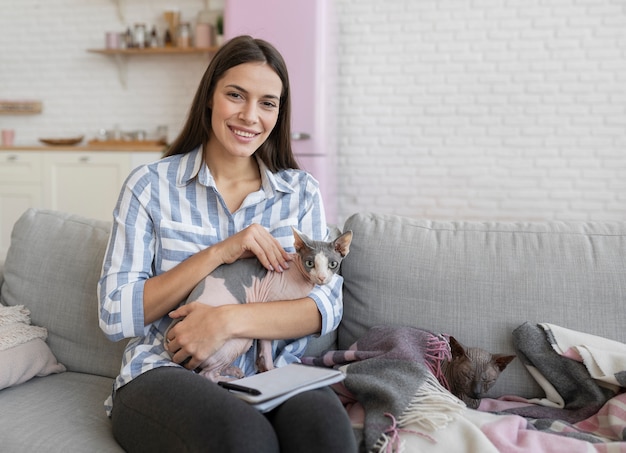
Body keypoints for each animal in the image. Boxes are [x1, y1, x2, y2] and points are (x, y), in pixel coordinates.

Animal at [165, 228, 352, 380]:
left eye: (333, 264)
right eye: (310, 263)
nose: (321, 277)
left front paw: (264, 368)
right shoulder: (269, 304)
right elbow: (267, 347)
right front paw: (269, 369)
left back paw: (234, 372)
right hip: (238, 341)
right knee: (207, 374)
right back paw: (230, 381)